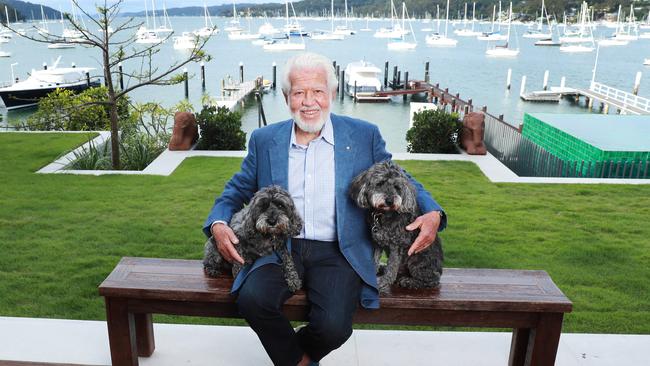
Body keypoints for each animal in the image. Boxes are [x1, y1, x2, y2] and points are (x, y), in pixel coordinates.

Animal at [346, 160, 442, 294]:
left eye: (397, 187)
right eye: (380, 183)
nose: (390, 201)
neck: (383, 214)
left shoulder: (397, 245)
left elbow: (392, 266)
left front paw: (384, 282)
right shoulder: (378, 243)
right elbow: (374, 259)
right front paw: (374, 272)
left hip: (416, 260)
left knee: (432, 280)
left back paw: (409, 281)